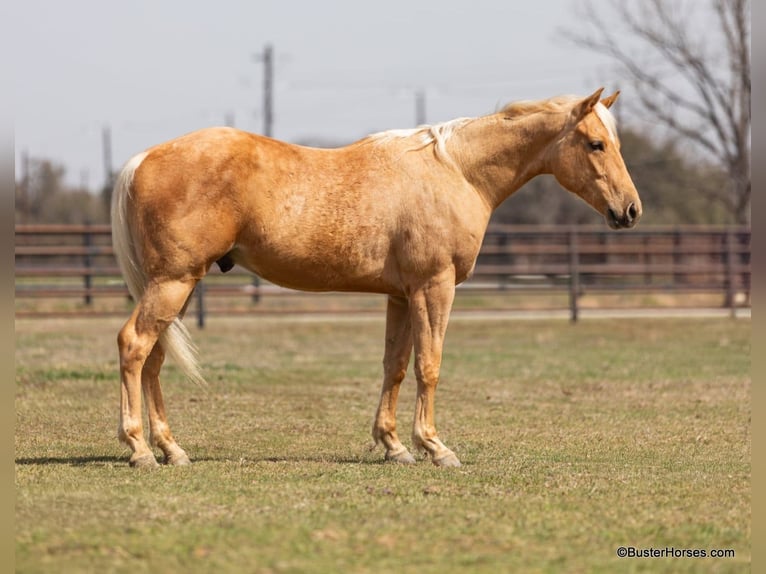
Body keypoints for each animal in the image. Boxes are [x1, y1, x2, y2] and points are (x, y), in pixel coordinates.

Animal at [111, 87, 641, 468]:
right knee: (134, 346)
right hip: (173, 282)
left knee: (154, 358)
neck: (457, 171)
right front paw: (435, 447)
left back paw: (172, 449)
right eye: (595, 144)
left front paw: (395, 446)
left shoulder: (402, 296)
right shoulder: (433, 288)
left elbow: (396, 367)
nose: (630, 211)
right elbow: (429, 365)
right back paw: (140, 450)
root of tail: (143, 159)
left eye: (614, 143)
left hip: (177, 286)